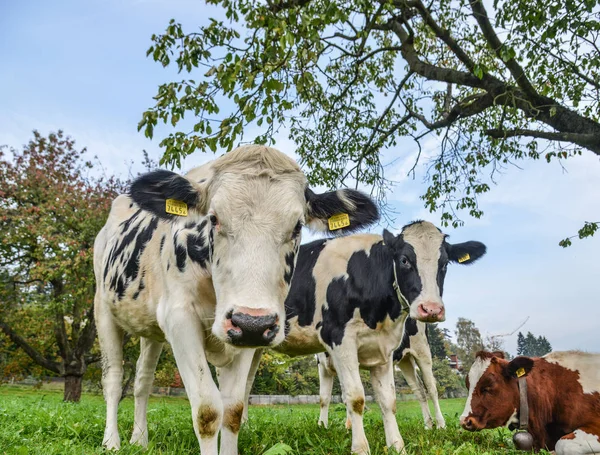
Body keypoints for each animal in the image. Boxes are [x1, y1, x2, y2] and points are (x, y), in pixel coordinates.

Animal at [92, 147, 380, 455]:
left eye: (297, 226)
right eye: (213, 218)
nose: (252, 323)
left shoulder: (248, 334)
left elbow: (233, 409)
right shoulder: (180, 319)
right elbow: (207, 411)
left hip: (152, 330)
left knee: (142, 380)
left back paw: (139, 439)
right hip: (103, 309)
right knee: (112, 378)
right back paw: (111, 441)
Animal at [318, 316, 446, 432]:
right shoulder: (322, 364)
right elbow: (325, 397)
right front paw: (323, 426)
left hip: (422, 350)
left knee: (431, 387)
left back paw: (441, 424)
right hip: (405, 360)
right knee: (419, 389)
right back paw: (428, 425)